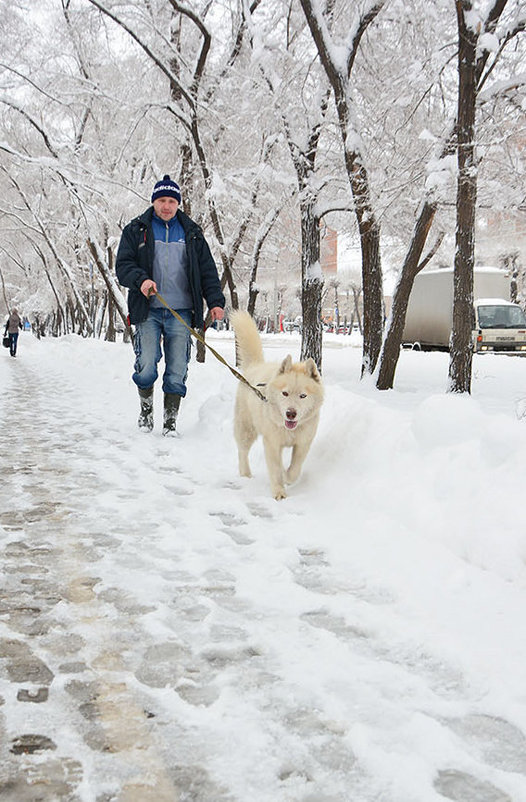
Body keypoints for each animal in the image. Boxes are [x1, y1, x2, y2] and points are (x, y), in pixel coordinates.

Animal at [232, 310, 324, 496]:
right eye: (285, 393)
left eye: (303, 395)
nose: (291, 413)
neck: (290, 429)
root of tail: (255, 365)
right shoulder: (272, 443)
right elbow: (274, 469)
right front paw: (279, 492)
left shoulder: (303, 442)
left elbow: (295, 467)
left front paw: (288, 477)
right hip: (246, 429)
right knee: (242, 451)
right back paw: (245, 474)